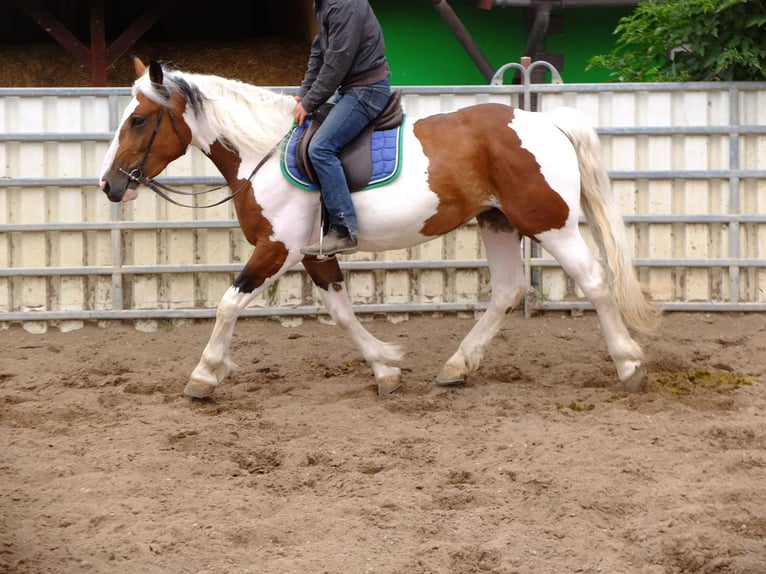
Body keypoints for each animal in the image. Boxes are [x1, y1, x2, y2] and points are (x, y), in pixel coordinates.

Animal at [97, 58, 660, 400]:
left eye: (139, 120)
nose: (108, 184)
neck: (266, 152)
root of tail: (543, 121)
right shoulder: (315, 253)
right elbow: (343, 313)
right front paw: (386, 367)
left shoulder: (276, 249)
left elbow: (228, 304)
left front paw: (204, 375)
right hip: (498, 222)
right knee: (507, 290)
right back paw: (457, 367)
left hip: (550, 224)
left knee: (595, 282)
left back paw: (629, 365)